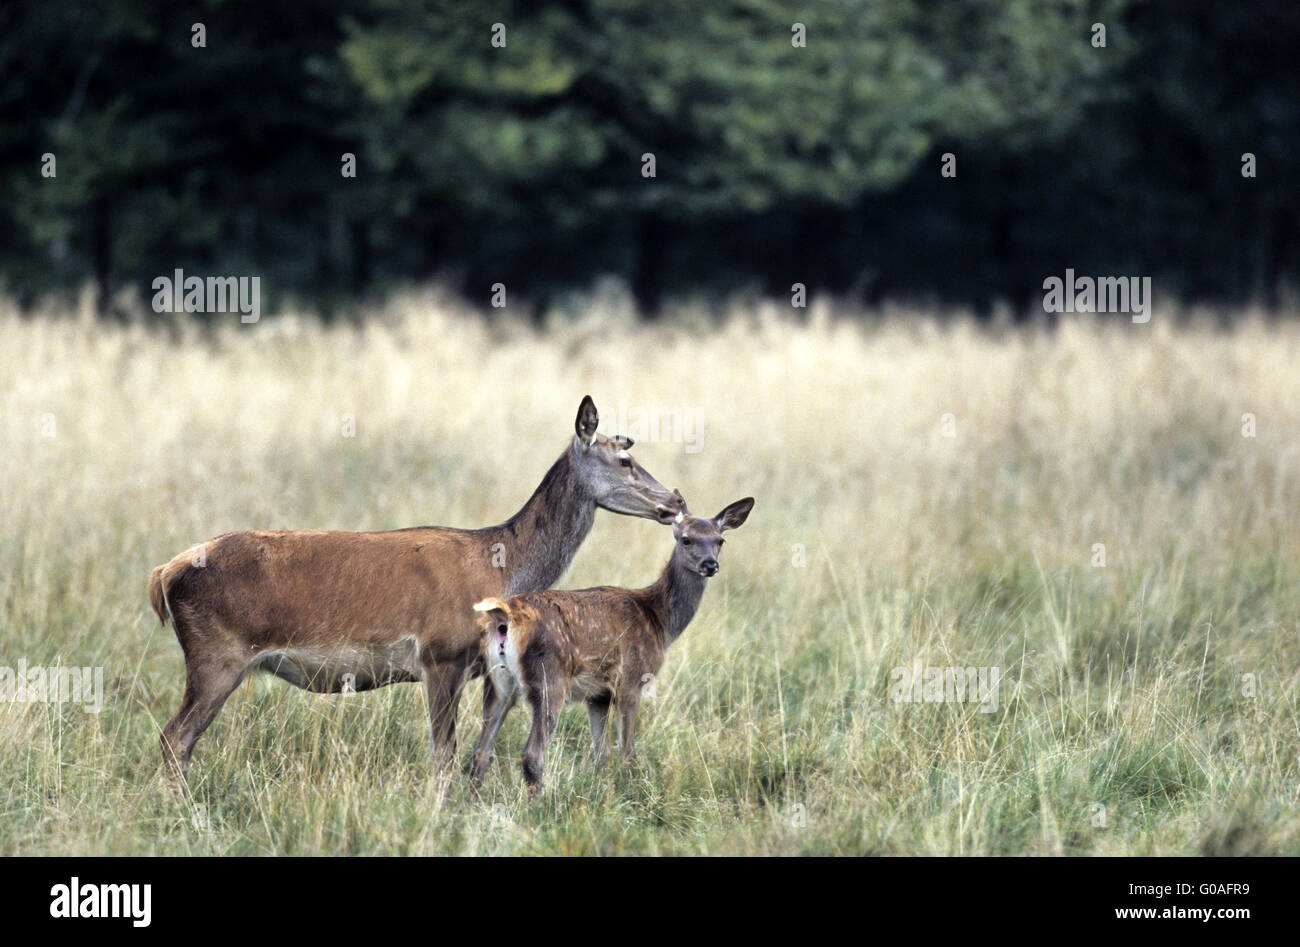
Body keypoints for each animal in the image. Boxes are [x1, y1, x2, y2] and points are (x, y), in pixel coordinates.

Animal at [149, 395, 681, 785]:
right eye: (625, 459)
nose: (675, 500)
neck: (503, 565)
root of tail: (164, 573)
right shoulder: (440, 654)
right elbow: (443, 753)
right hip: (217, 655)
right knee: (174, 738)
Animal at [467, 491, 754, 796]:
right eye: (686, 539)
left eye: (720, 540)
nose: (710, 565)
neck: (658, 621)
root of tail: (506, 616)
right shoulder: (631, 679)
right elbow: (627, 752)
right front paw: (632, 792)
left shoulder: (598, 694)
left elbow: (601, 754)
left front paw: (600, 791)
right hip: (549, 679)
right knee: (532, 753)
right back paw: (538, 803)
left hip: (498, 682)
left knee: (481, 751)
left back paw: (474, 800)